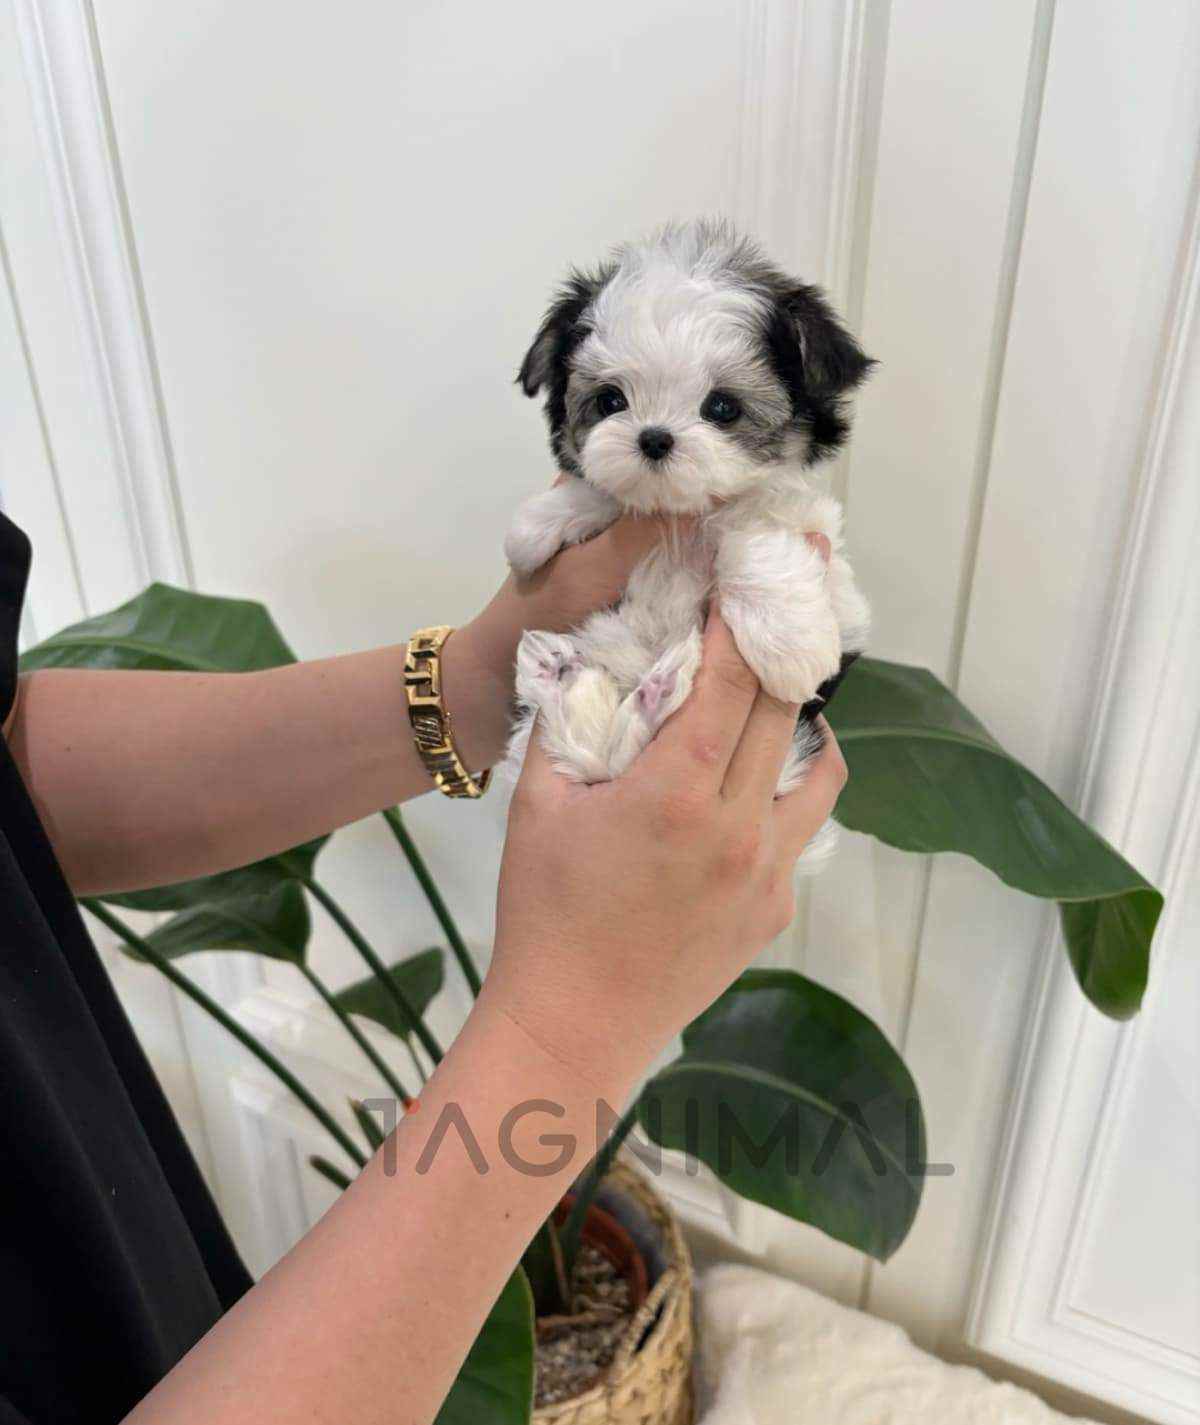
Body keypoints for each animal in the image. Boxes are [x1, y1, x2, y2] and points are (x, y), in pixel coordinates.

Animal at [503, 219, 872, 866]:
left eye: (722, 407)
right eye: (610, 401)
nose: (653, 438)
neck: (679, 518)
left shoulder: (832, 576)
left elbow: (755, 525)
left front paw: (789, 636)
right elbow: (598, 492)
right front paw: (543, 522)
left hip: (791, 759)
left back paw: (651, 690)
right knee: (589, 753)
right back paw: (572, 678)